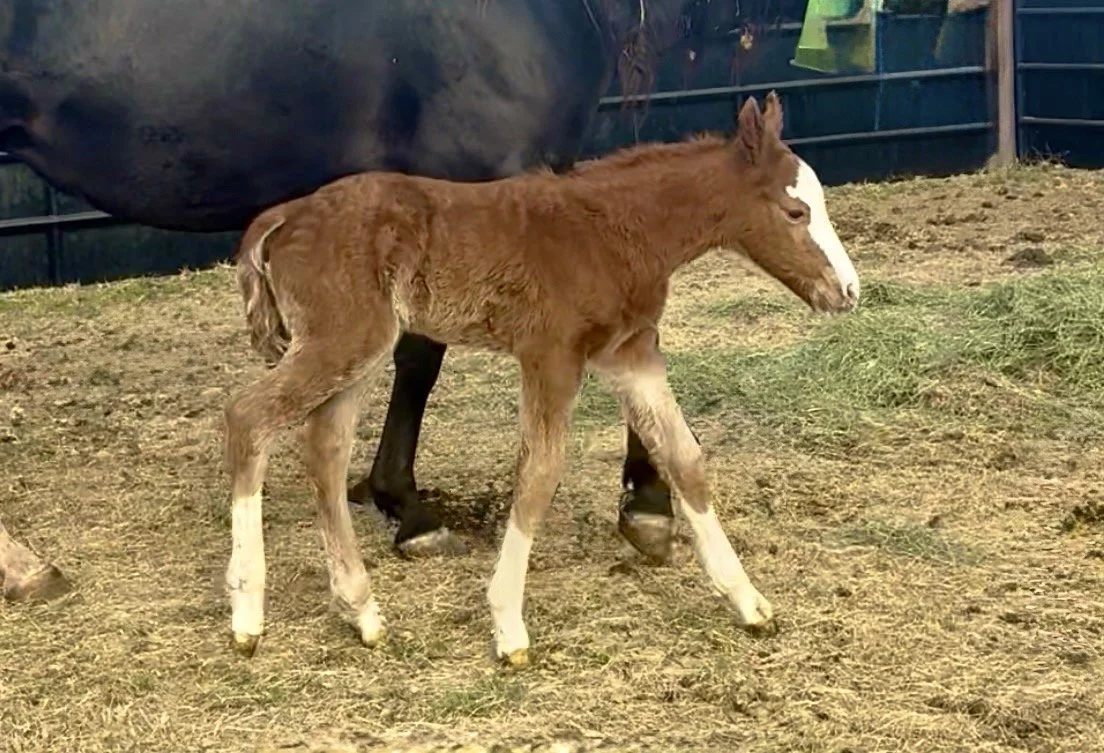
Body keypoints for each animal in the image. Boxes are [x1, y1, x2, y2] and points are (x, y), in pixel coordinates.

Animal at [223, 92, 860, 662]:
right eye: (796, 212)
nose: (849, 292)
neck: (616, 228)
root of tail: (283, 216)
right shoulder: (551, 356)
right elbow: (539, 473)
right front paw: (508, 626)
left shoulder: (629, 354)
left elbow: (685, 459)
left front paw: (748, 601)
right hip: (342, 341)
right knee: (248, 418)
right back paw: (247, 613)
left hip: (356, 352)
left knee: (324, 450)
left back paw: (362, 611)